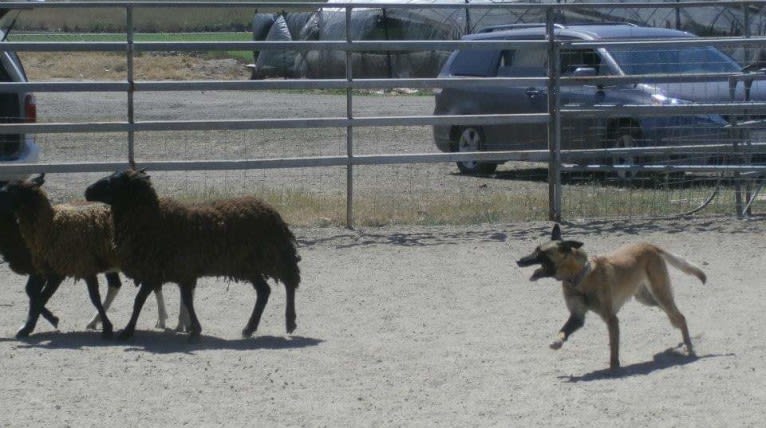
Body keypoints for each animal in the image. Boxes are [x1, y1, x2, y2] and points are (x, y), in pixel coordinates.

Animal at [516, 224, 708, 372]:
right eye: (535, 249)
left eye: (541, 252)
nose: (518, 261)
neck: (579, 278)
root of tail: (650, 245)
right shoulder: (577, 317)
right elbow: (563, 330)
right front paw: (557, 342)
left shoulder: (611, 318)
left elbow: (613, 346)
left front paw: (614, 367)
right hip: (648, 299)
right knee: (675, 316)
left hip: (660, 294)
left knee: (680, 316)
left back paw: (689, 346)